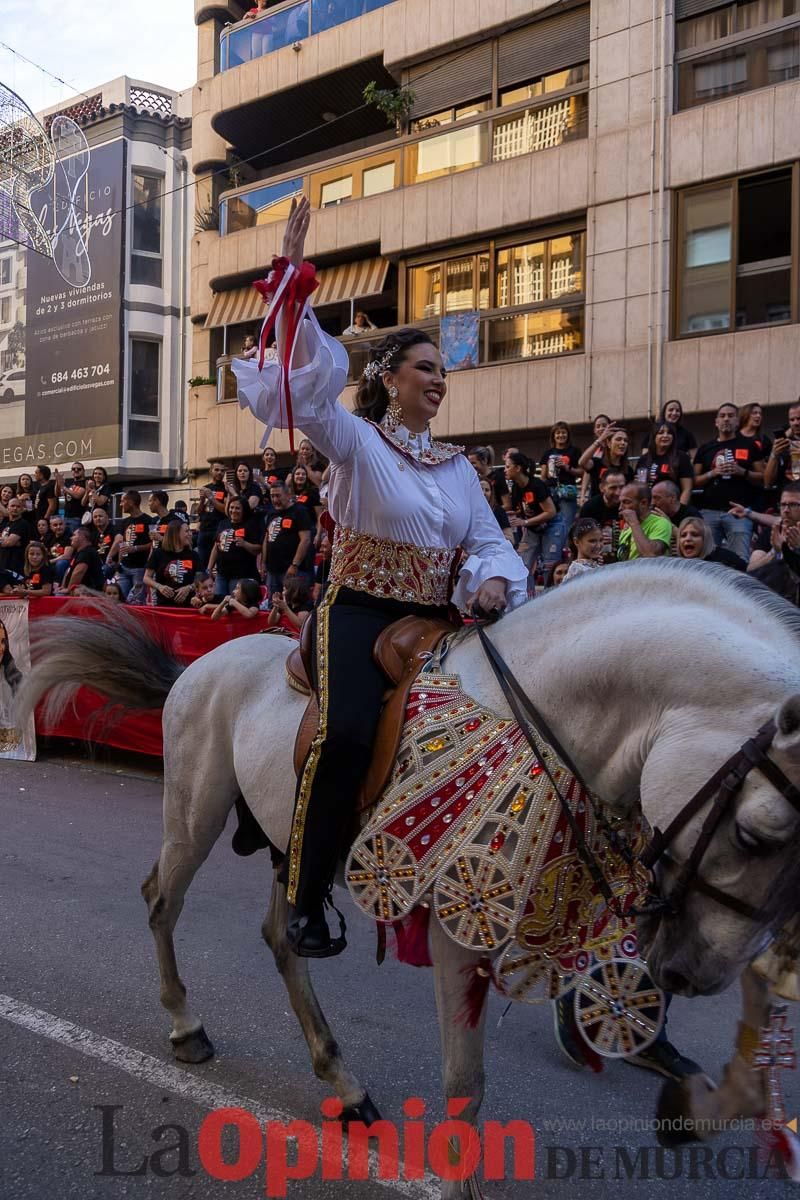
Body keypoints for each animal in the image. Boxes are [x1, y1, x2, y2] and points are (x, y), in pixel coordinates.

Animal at [17, 564, 800, 1200]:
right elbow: (465, 1084)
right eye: (757, 834)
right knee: (163, 901)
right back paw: (187, 1026)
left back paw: (343, 1081)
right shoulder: (463, 925)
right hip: (195, 810)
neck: (539, 716)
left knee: (283, 937)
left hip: (288, 840)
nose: (696, 973)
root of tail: (202, 664)